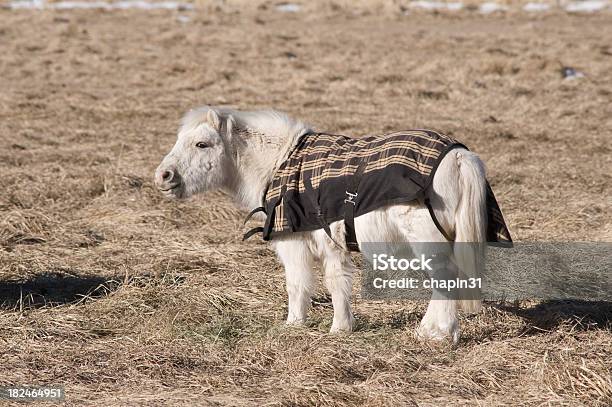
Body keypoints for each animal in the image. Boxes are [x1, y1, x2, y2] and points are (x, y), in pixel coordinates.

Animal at [154, 107, 488, 344]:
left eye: (202, 144)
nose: (163, 176)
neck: (282, 163)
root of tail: (459, 156)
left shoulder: (297, 243)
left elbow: (301, 283)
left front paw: (299, 325)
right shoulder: (332, 246)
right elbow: (335, 282)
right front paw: (340, 327)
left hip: (427, 240)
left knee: (446, 278)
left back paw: (436, 333)